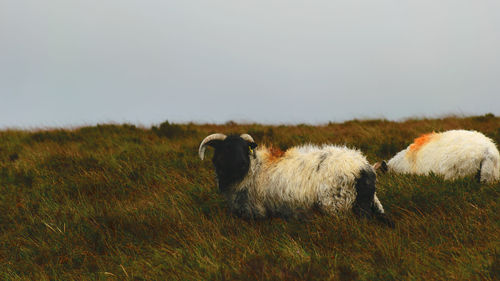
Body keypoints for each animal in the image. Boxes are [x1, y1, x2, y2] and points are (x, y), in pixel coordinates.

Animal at [199, 132, 394, 226]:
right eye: (226, 148)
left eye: (245, 148)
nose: (242, 163)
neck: (252, 170)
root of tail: (364, 167)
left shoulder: (256, 212)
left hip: (337, 206)